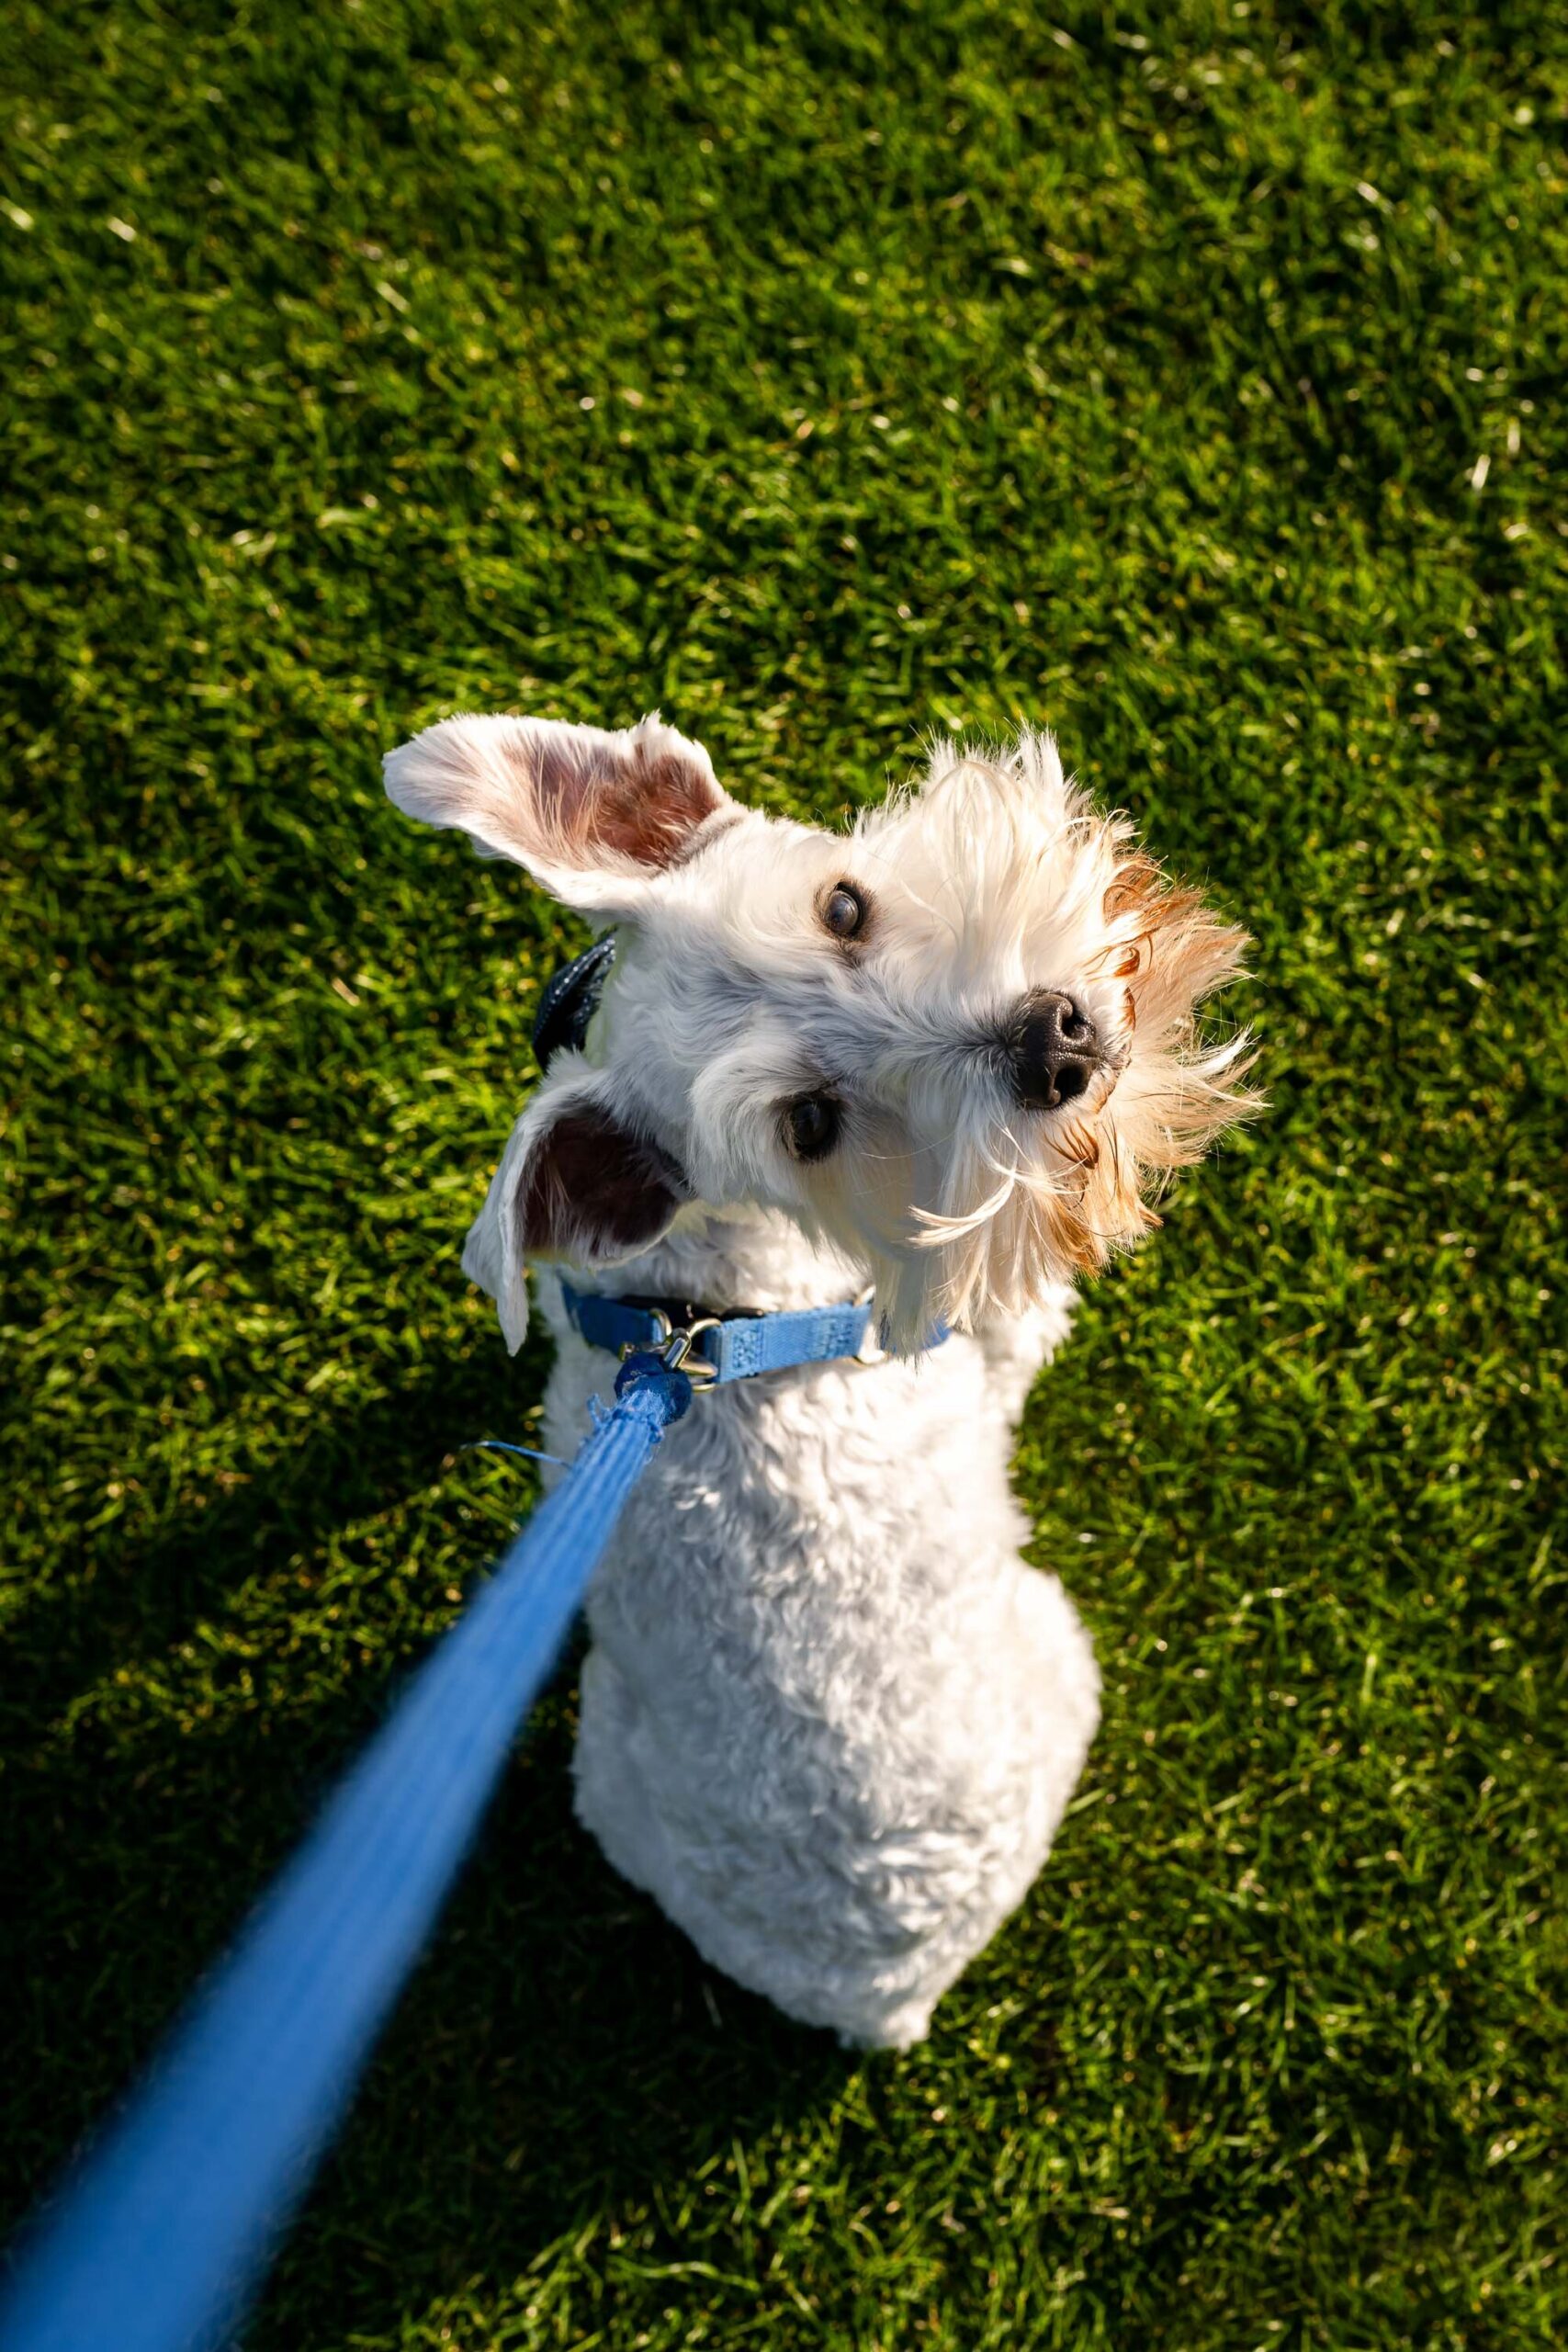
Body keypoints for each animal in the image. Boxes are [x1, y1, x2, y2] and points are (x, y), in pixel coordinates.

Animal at [385, 710, 1259, 2041]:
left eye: (842, 906)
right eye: (809, 1123)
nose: (1054, 1040)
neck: (701, 1305)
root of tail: (887, 1997)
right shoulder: (976, 1343)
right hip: (1060, 1653)